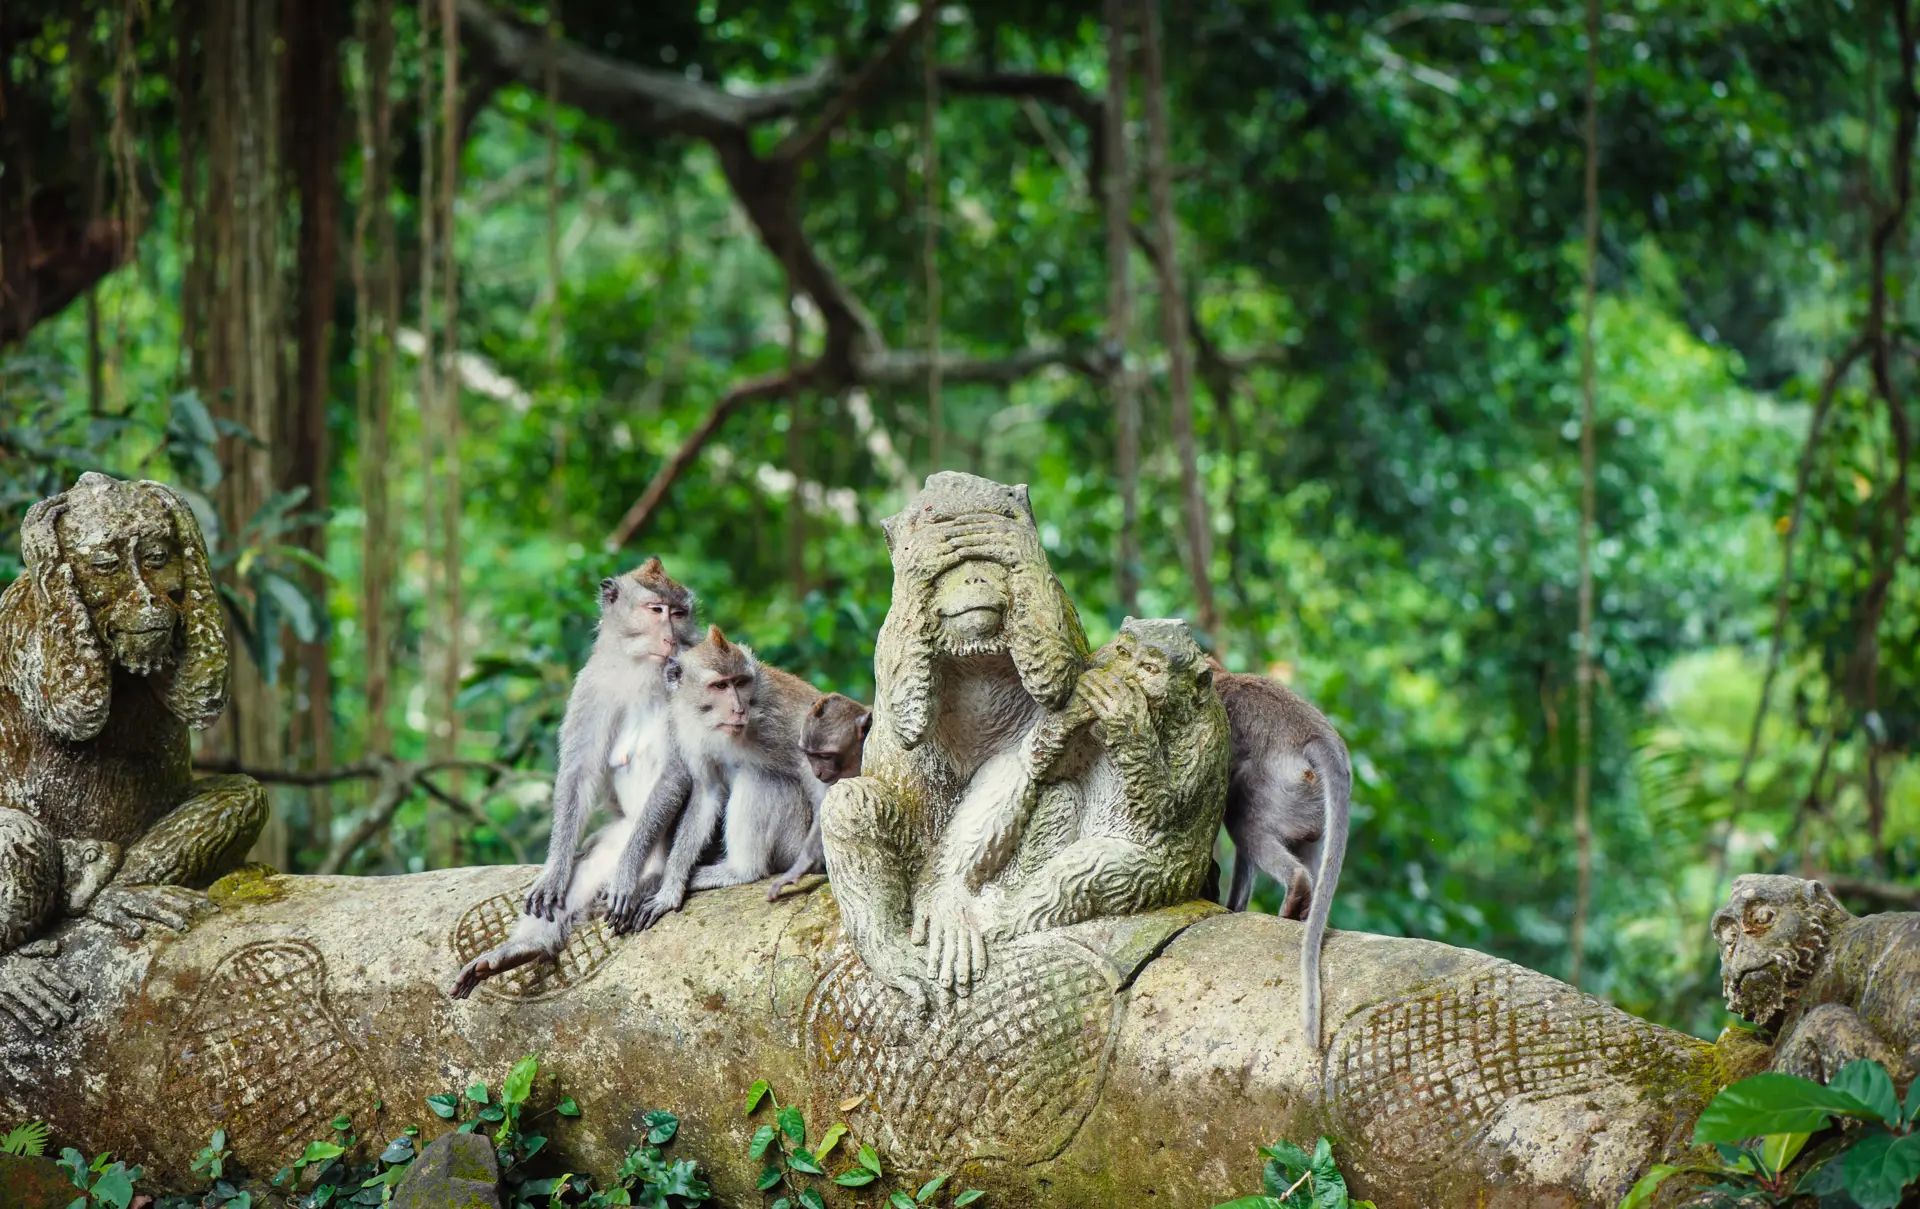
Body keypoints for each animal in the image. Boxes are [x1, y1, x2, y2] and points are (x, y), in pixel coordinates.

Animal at [448, 558, 696, 1000]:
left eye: (680, 613)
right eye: (656, 610)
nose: (671, 636)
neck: (641, 671)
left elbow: (676, 771)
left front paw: (626, 875)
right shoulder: (591, 684)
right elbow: (578, 774)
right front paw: (554, 871)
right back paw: (523, 948)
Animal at [631, 626, 824, 930]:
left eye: (741, 682)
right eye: (720, 686)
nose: (739, 708)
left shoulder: (780, 715)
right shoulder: (686, 729)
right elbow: (707, 793)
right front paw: (670, 889)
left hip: (794, 843)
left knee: (760, 779)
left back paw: (742, 871)